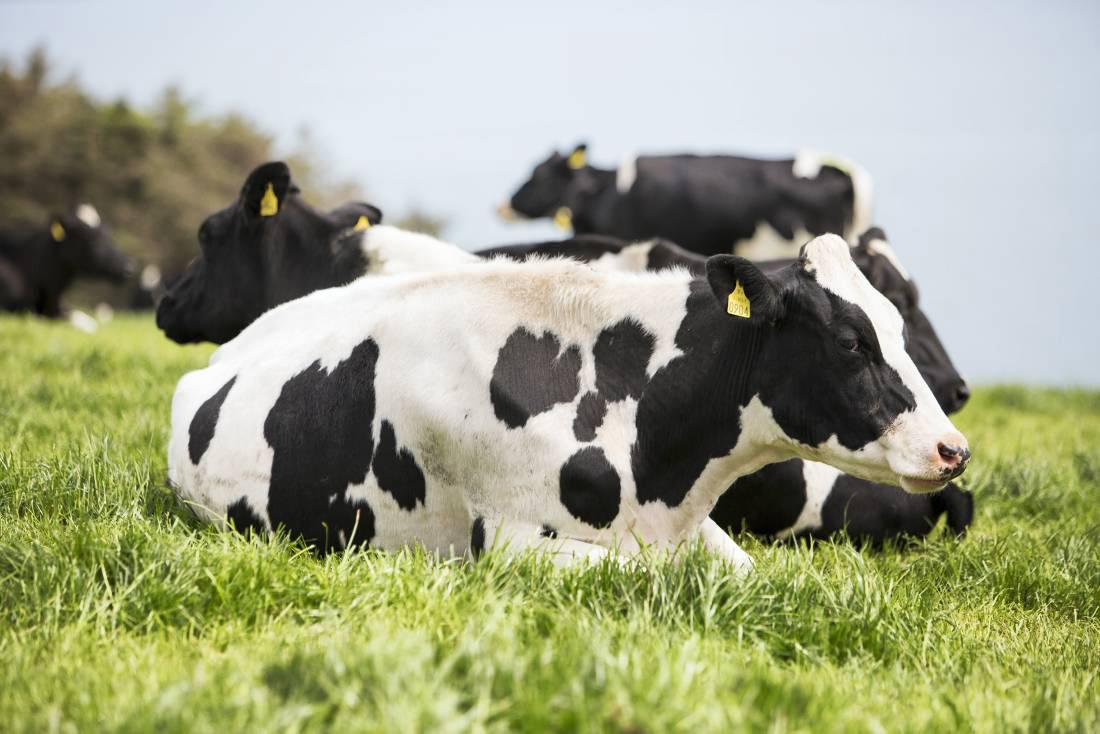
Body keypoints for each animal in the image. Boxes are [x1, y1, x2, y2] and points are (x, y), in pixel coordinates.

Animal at [167, 234, 970, 571]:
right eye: (850, 340)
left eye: (898, 324)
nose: (953, 448)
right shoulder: (509, 541)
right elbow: (652, 575)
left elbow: (739, 570)